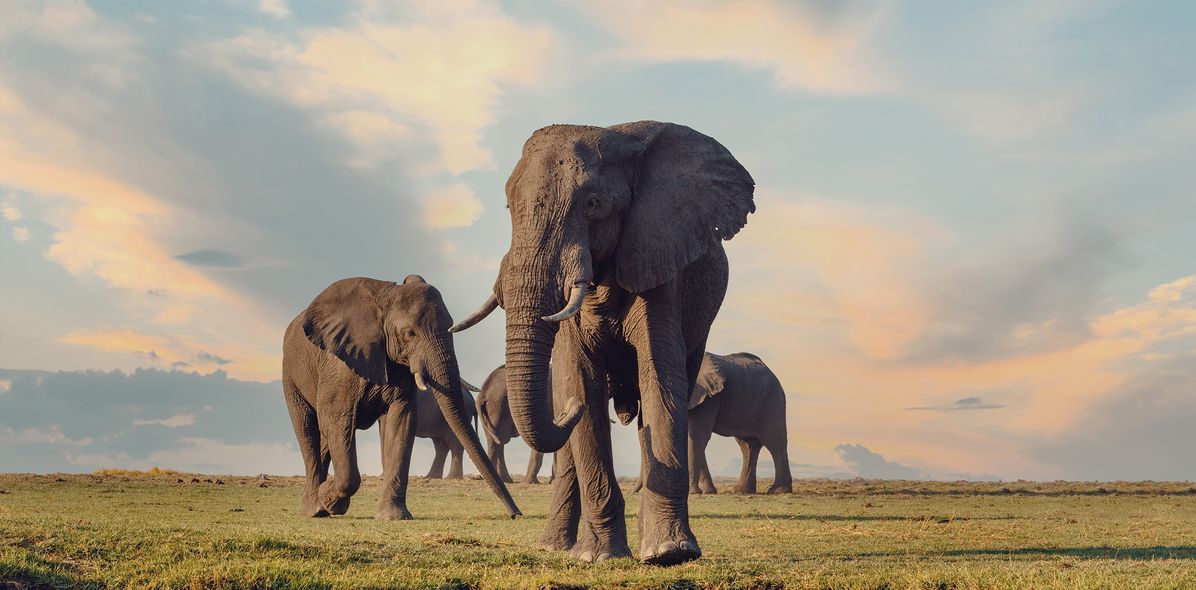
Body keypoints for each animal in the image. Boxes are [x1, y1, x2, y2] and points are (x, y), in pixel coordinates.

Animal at [284, 274, 523, 516]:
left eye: (450, 328)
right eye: (410, 334)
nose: (515, 514)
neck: (386, 298)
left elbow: (401, 421)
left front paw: (393, 516)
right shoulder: (339, 366)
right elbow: (338, 419)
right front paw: (330, 499)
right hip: (291, 374)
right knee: (308, 431)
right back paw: (314, 509)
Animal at [452, 120, 751, 564]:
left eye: (593, 204)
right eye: (508, 208)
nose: (567, 409)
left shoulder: (657, 262)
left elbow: (661, 382)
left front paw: (670, 552)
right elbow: (582, 386)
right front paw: (599, 556)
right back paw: (556, 545)